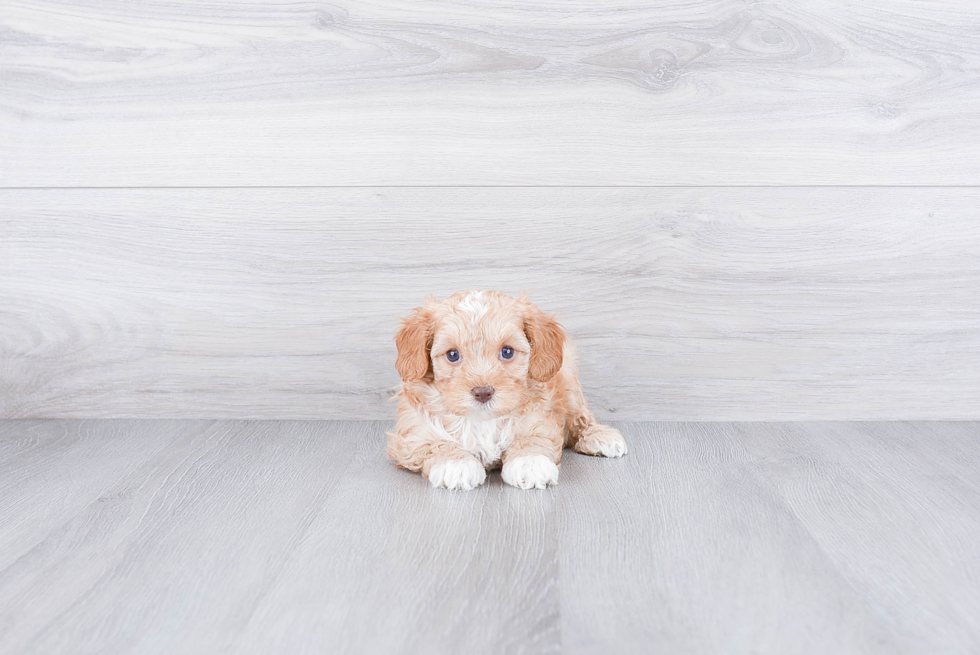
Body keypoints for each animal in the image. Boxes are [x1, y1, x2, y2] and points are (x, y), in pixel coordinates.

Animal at [384, 290, 624, 490]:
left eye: (507, 351)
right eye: (452, 355)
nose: (482, 392)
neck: (482, 420)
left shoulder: (540, 419)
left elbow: (532, 438)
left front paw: (530, 462)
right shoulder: (412, 432)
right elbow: (434, 442)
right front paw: (456, 464)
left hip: (568, 381)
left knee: (580, 417)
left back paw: (601, 436)